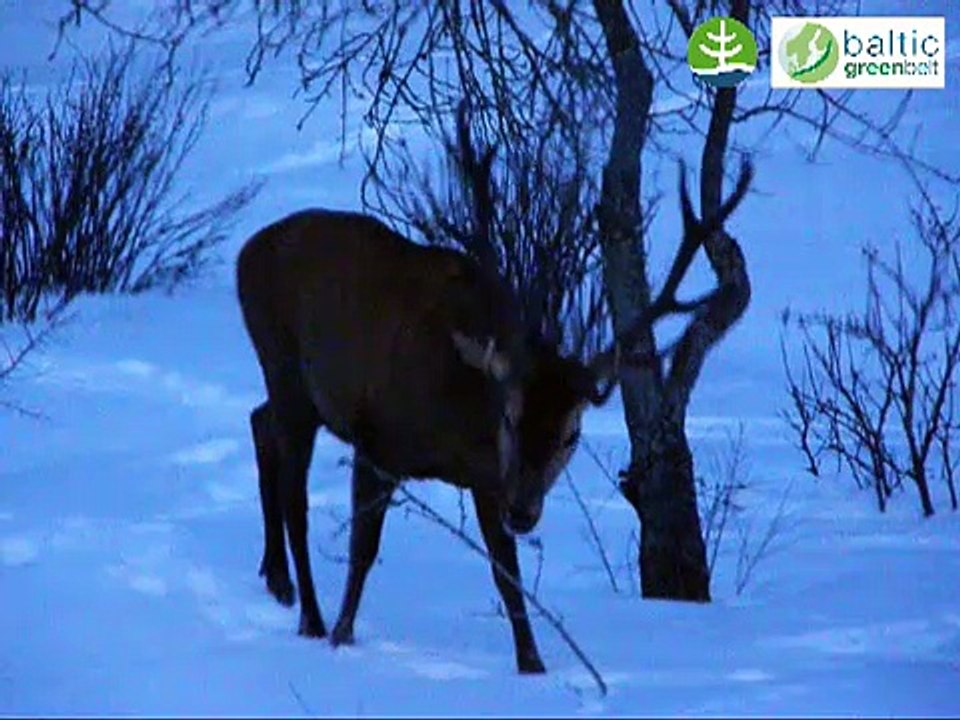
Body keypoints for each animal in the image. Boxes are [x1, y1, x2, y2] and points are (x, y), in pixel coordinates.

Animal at [236, 105, 754, 675]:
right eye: (510, 415)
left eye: (571, 435)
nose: (525, 512)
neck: (454, 426)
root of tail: (246, 251)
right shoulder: (376, 438)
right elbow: (362, 549)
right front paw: (342, 635)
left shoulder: (489, 480)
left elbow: (507, 576)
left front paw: (533, 663)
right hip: (284, 364)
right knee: (294, 496)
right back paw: (309, 614)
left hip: (291, 386)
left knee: (258, 420)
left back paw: (276, 579)